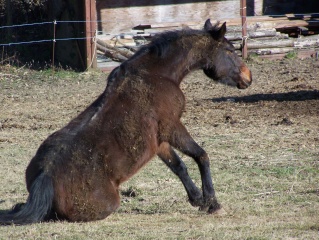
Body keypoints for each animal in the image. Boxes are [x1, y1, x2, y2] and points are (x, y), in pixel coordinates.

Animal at [0, 19, 252, 225]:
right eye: (230, 50)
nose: (248, 78)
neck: (156, 75)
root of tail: (45, 177)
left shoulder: (159, 141)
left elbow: (178, 166)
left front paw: (198, 199)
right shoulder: (172, 127)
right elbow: (201, 156)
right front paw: (212, 203)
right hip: (109, 203)